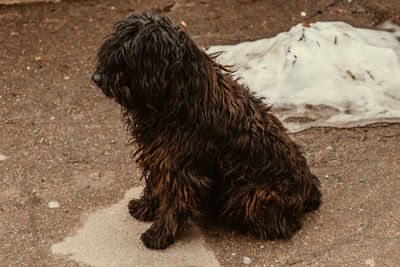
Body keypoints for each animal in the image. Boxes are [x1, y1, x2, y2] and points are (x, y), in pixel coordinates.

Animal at [93, 13, 322, 251]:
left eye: (124, 58)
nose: (97, 78)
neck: (176, 94)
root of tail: (308, 190)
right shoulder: (158, 154)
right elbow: (155, 184)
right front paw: (145, 207)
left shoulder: (179, 165)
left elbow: (172, 200)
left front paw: (159, 234)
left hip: (257, 192)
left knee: (285, 225)